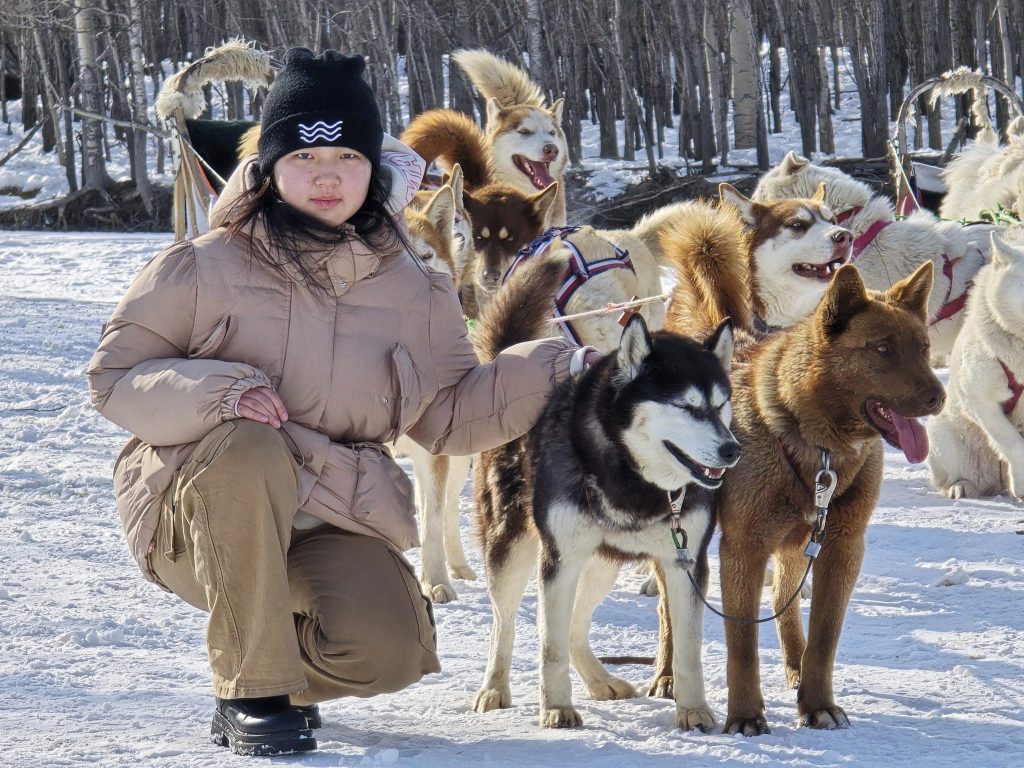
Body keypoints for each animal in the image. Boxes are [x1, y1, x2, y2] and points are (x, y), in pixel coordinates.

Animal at [655, 222, 942, 733]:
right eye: (883, 349)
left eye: (923, 348)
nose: (939, 396)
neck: (819, 447)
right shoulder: (743, 548)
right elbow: (741, 646)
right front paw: (745, 716)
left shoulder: (841, 547)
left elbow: (824, 639)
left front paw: (817, 703)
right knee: (669, 605)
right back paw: (669, 674)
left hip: (796, 542)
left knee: (782, 601)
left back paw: (793, 664)